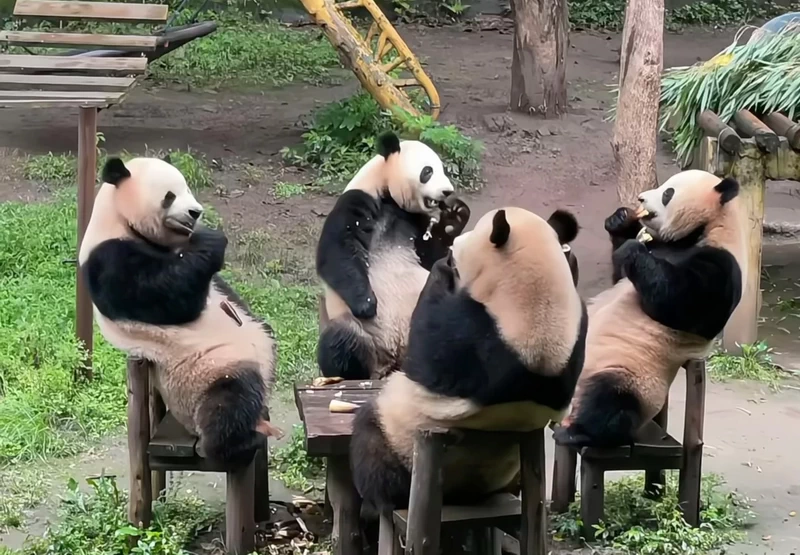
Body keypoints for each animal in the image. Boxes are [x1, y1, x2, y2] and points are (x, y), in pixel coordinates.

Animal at [78, 156, 282, 466]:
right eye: (170, 196)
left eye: (188, 188)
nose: (196, 213)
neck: (120, 219)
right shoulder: (109, 259)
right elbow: (168, 297)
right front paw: (211, 240)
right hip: (204, 373)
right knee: (231, 401)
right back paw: (240, 443)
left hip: (256, 343)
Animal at [316, 131, 471, 381]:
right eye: (428, 171)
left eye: (443, 170)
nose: (447, 191)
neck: (390, 196)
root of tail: (395, 359)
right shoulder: (359, 200)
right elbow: (338, 250)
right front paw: (367, 304)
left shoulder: (415, 221)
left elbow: (431, 256)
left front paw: (454, 218)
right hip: (366, 336)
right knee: (343, 338)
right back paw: (351, 372)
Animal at [350, 206, 588, 513]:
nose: (451, 251)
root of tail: (462, 495)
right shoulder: (577, 333)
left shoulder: (469, 340)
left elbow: (424, 349)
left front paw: (441, 270)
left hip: (400, 440)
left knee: (371, 445)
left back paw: (376, 502)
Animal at [553, 170, 746, 448]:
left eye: (668, 193)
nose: (641, 199)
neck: (705, 229)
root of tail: (572, 404)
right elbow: (621, 275)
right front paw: (620, 221)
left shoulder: (721, 266)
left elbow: (683, 304)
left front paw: (632, 249)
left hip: (631, 374)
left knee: (612, 400)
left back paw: (578, 431)